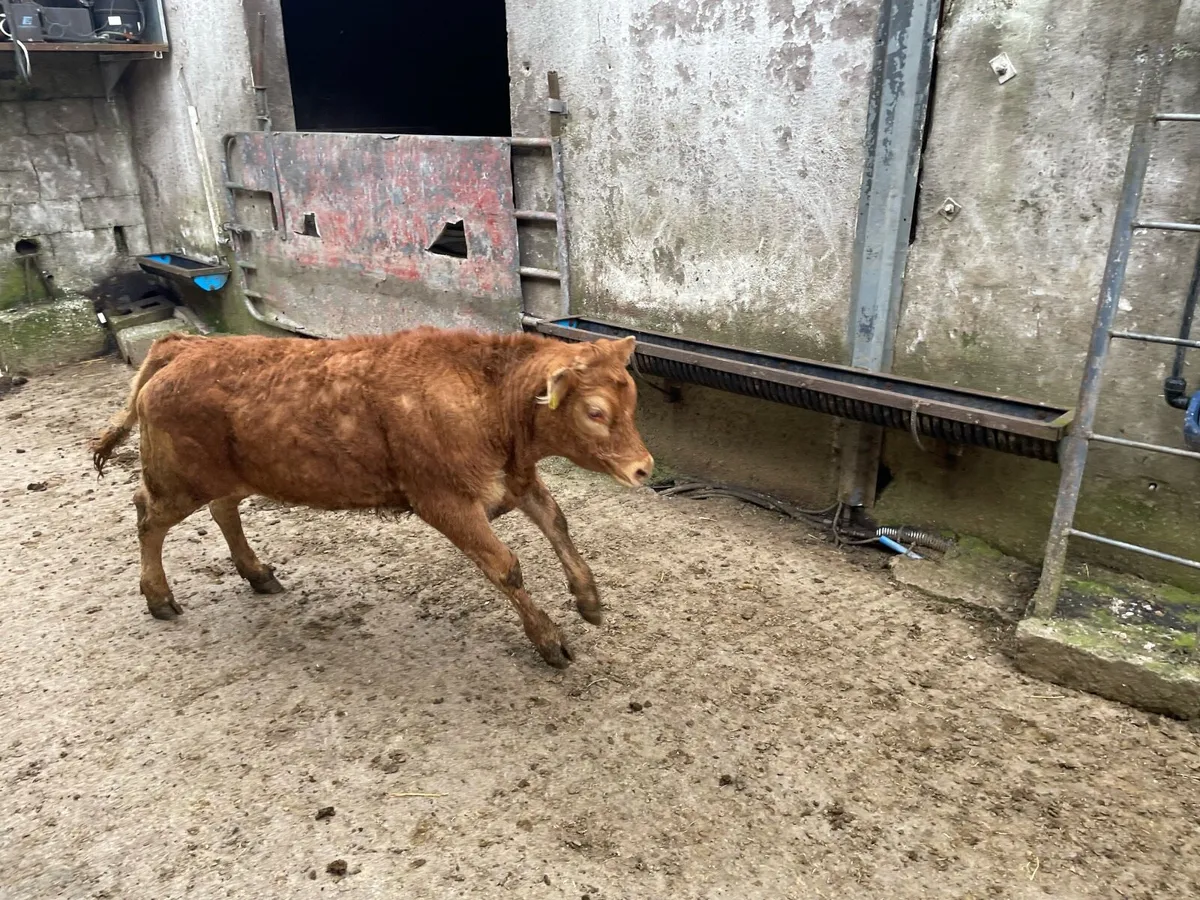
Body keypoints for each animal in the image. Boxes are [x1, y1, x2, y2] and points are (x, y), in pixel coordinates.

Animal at [90, 327, 654, 668]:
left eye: (632, 401)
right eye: (596, 411)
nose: (644, 468)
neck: (485, 398)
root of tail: (184, 345)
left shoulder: (513, 479)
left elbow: (557, 523)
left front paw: (589, 600)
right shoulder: (445, 501)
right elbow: (506, 568)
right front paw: (548, 639)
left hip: (230, 476)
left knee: (223, 510)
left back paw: (257, 573)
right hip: (177, 481)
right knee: (148, 517)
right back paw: (158, 596)